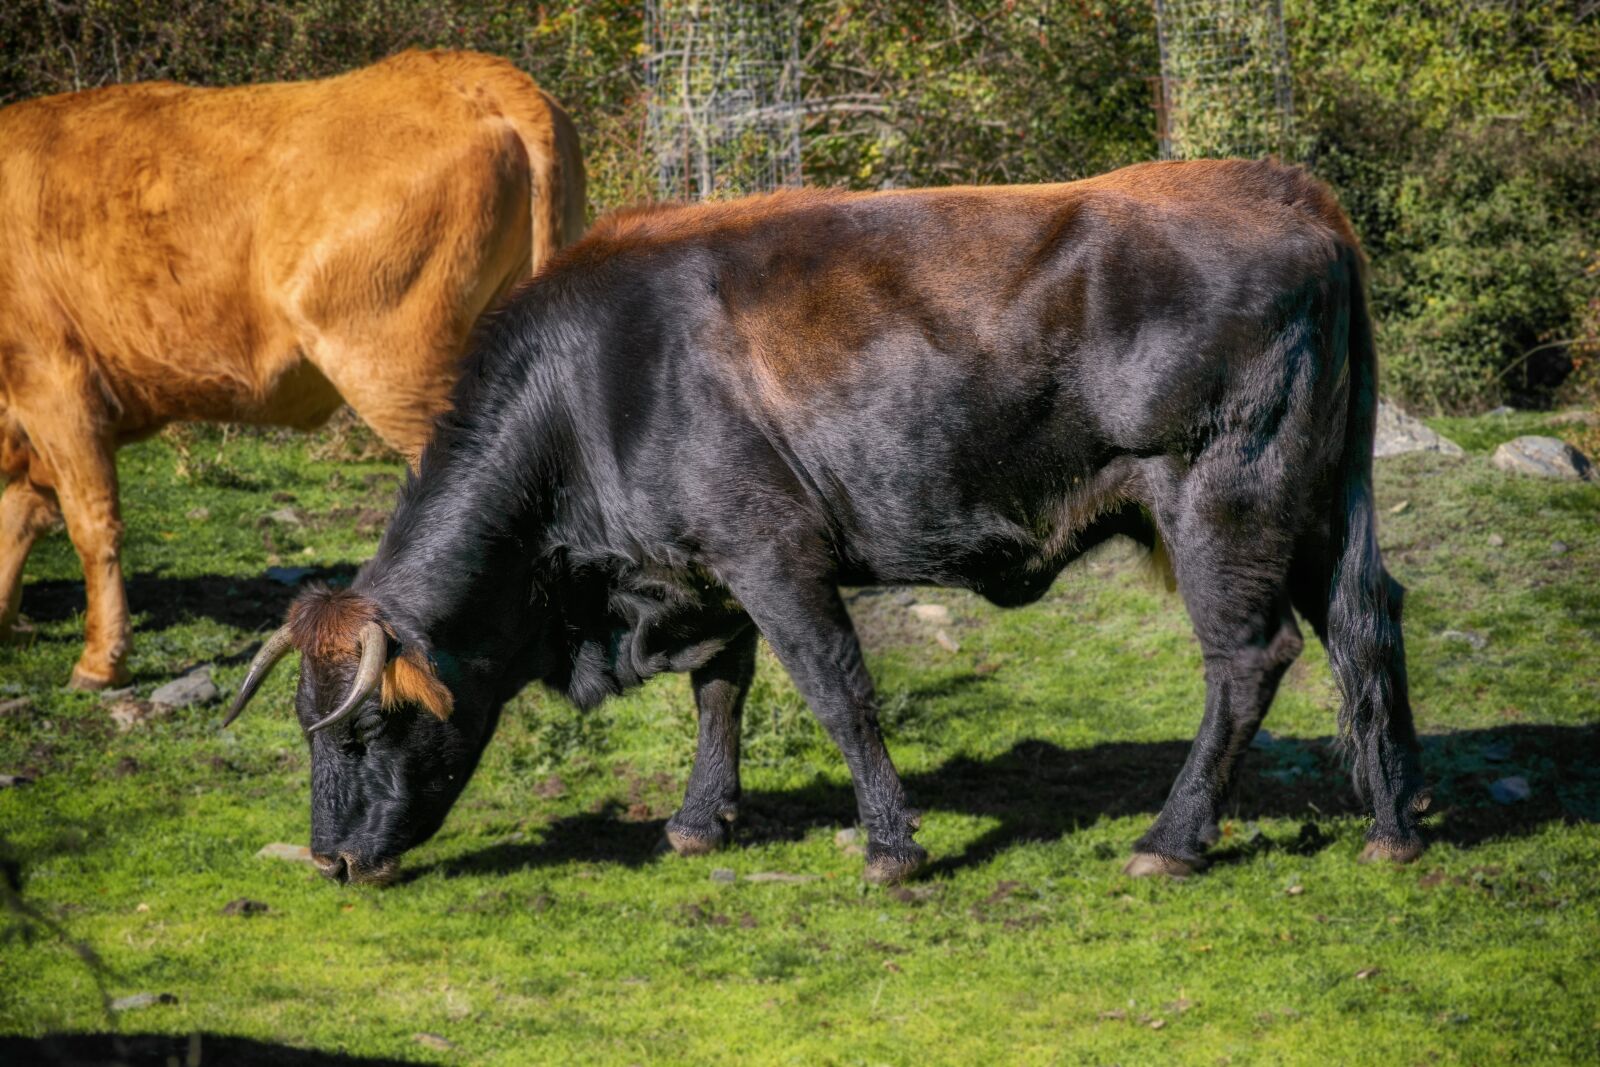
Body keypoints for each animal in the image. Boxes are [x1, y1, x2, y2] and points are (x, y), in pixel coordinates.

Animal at [0, 49, 585, 689]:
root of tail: (473, 70)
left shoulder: (52, 381)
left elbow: (89, 522)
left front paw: (101, 661)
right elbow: (19, 513)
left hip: (397, 366)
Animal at [226, 159, 1429, 886]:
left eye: (366, 729)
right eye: (304, 728)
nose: (332, 859)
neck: (595, 382)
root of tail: (1284, 191)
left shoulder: (772, 553)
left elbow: (837, 689)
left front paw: (891, 848)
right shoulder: (703, 574)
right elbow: (720, 691)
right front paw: (699, 819)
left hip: (1223, 507)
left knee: (1250, 659)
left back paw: (1172, 840)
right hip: (1320, 510)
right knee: (1367, 624)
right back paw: (1394, 824)